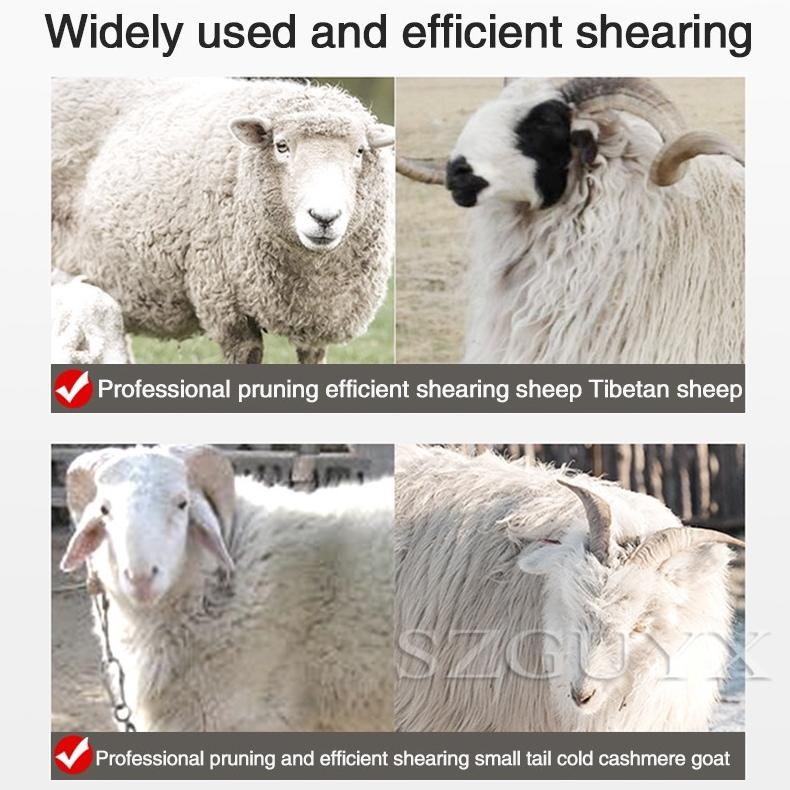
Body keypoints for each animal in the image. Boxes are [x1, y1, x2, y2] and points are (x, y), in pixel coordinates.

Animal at [52, 78, 395, 364]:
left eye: (359, 151)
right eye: (281, 146)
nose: (324, 218)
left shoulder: (320, 315)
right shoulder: (226, 304)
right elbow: (246, 354)